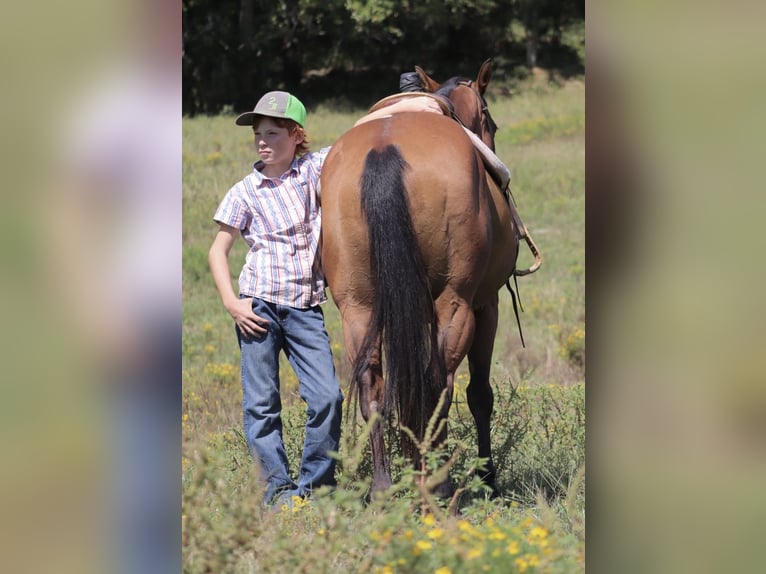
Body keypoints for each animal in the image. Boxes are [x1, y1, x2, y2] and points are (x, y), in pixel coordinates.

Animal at [320, 60, 521, 498]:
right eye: (491, 121)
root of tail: (383, 149)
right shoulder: (487, 304)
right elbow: (480, 394)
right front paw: (488, 478)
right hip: (455, 305)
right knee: (437, 383)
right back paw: (440, 484)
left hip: (358, 309)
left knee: (373, 389)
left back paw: (383, 488)